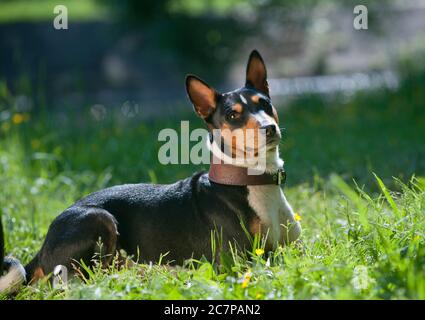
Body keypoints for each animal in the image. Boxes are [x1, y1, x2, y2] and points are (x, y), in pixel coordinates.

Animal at [0, 51, 302, 294]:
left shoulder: (294, 249)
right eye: (232, 115)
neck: (254, 181)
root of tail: (43, 247)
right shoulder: (236, 262)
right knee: (81, 280)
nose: (269, 128)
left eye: (265, 104)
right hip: (100, 219)